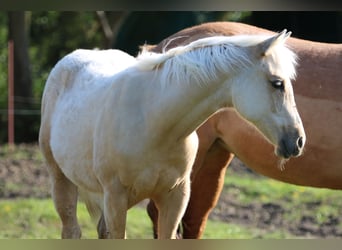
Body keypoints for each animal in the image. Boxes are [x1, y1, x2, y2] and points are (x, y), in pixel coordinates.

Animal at [38, 30, 306, 239]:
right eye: (277, 83)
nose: (298, 140)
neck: (155, 123)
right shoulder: (115, 198)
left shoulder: (175, 196)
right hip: (62, 181)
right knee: (71, 230)